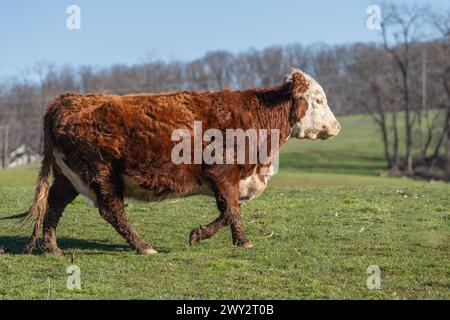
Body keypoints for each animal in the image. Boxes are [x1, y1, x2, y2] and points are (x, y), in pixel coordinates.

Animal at [16, 69, 342, 256]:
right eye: (319, 100)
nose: (338, 127)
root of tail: (67, 99)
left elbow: (231, 211)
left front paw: (227, 238)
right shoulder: (223, 175)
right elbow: (231, 210)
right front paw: (219, 238)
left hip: (69, 177)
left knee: (54, 205)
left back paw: (52, 248)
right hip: (101, 174)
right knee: (112, 211)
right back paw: (144, 247)